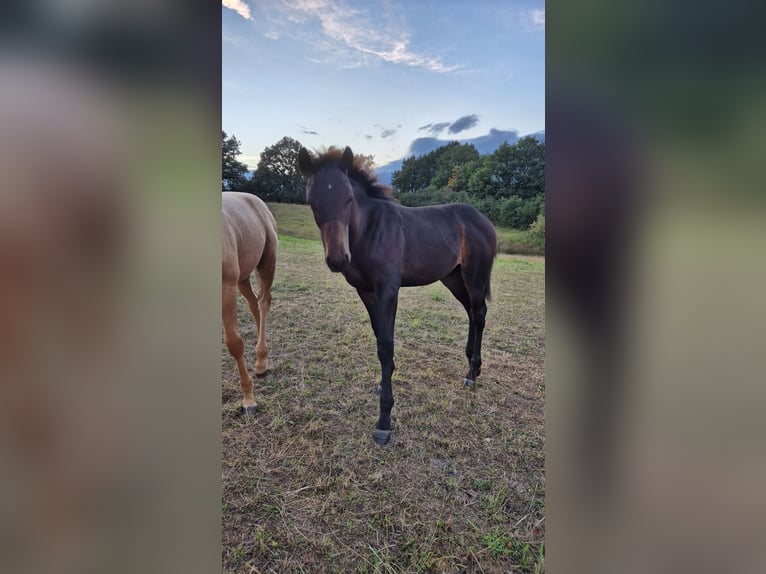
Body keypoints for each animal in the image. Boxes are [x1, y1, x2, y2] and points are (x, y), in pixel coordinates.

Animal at [222, 192, 278, 414]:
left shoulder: (226, 286)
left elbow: (234, 343)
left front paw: (249, 400)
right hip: (243, 276)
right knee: (254, 304)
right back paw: (261, 359)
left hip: (267, 261)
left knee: (263, 302)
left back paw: (261, 363)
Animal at [298, 146, 497, 445]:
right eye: (312, 201)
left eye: (348, 198)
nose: (338, 259)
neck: (370, 231)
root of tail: (484, 220)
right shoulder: (366, 291)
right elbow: (378, 335)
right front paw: (383, 383)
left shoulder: (388, 290)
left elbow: (386, 344)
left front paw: (384, 421)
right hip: (453, 278)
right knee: (472, 312)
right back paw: (475, 365)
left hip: (474, 276)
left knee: (480, 314)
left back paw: (471, 373)